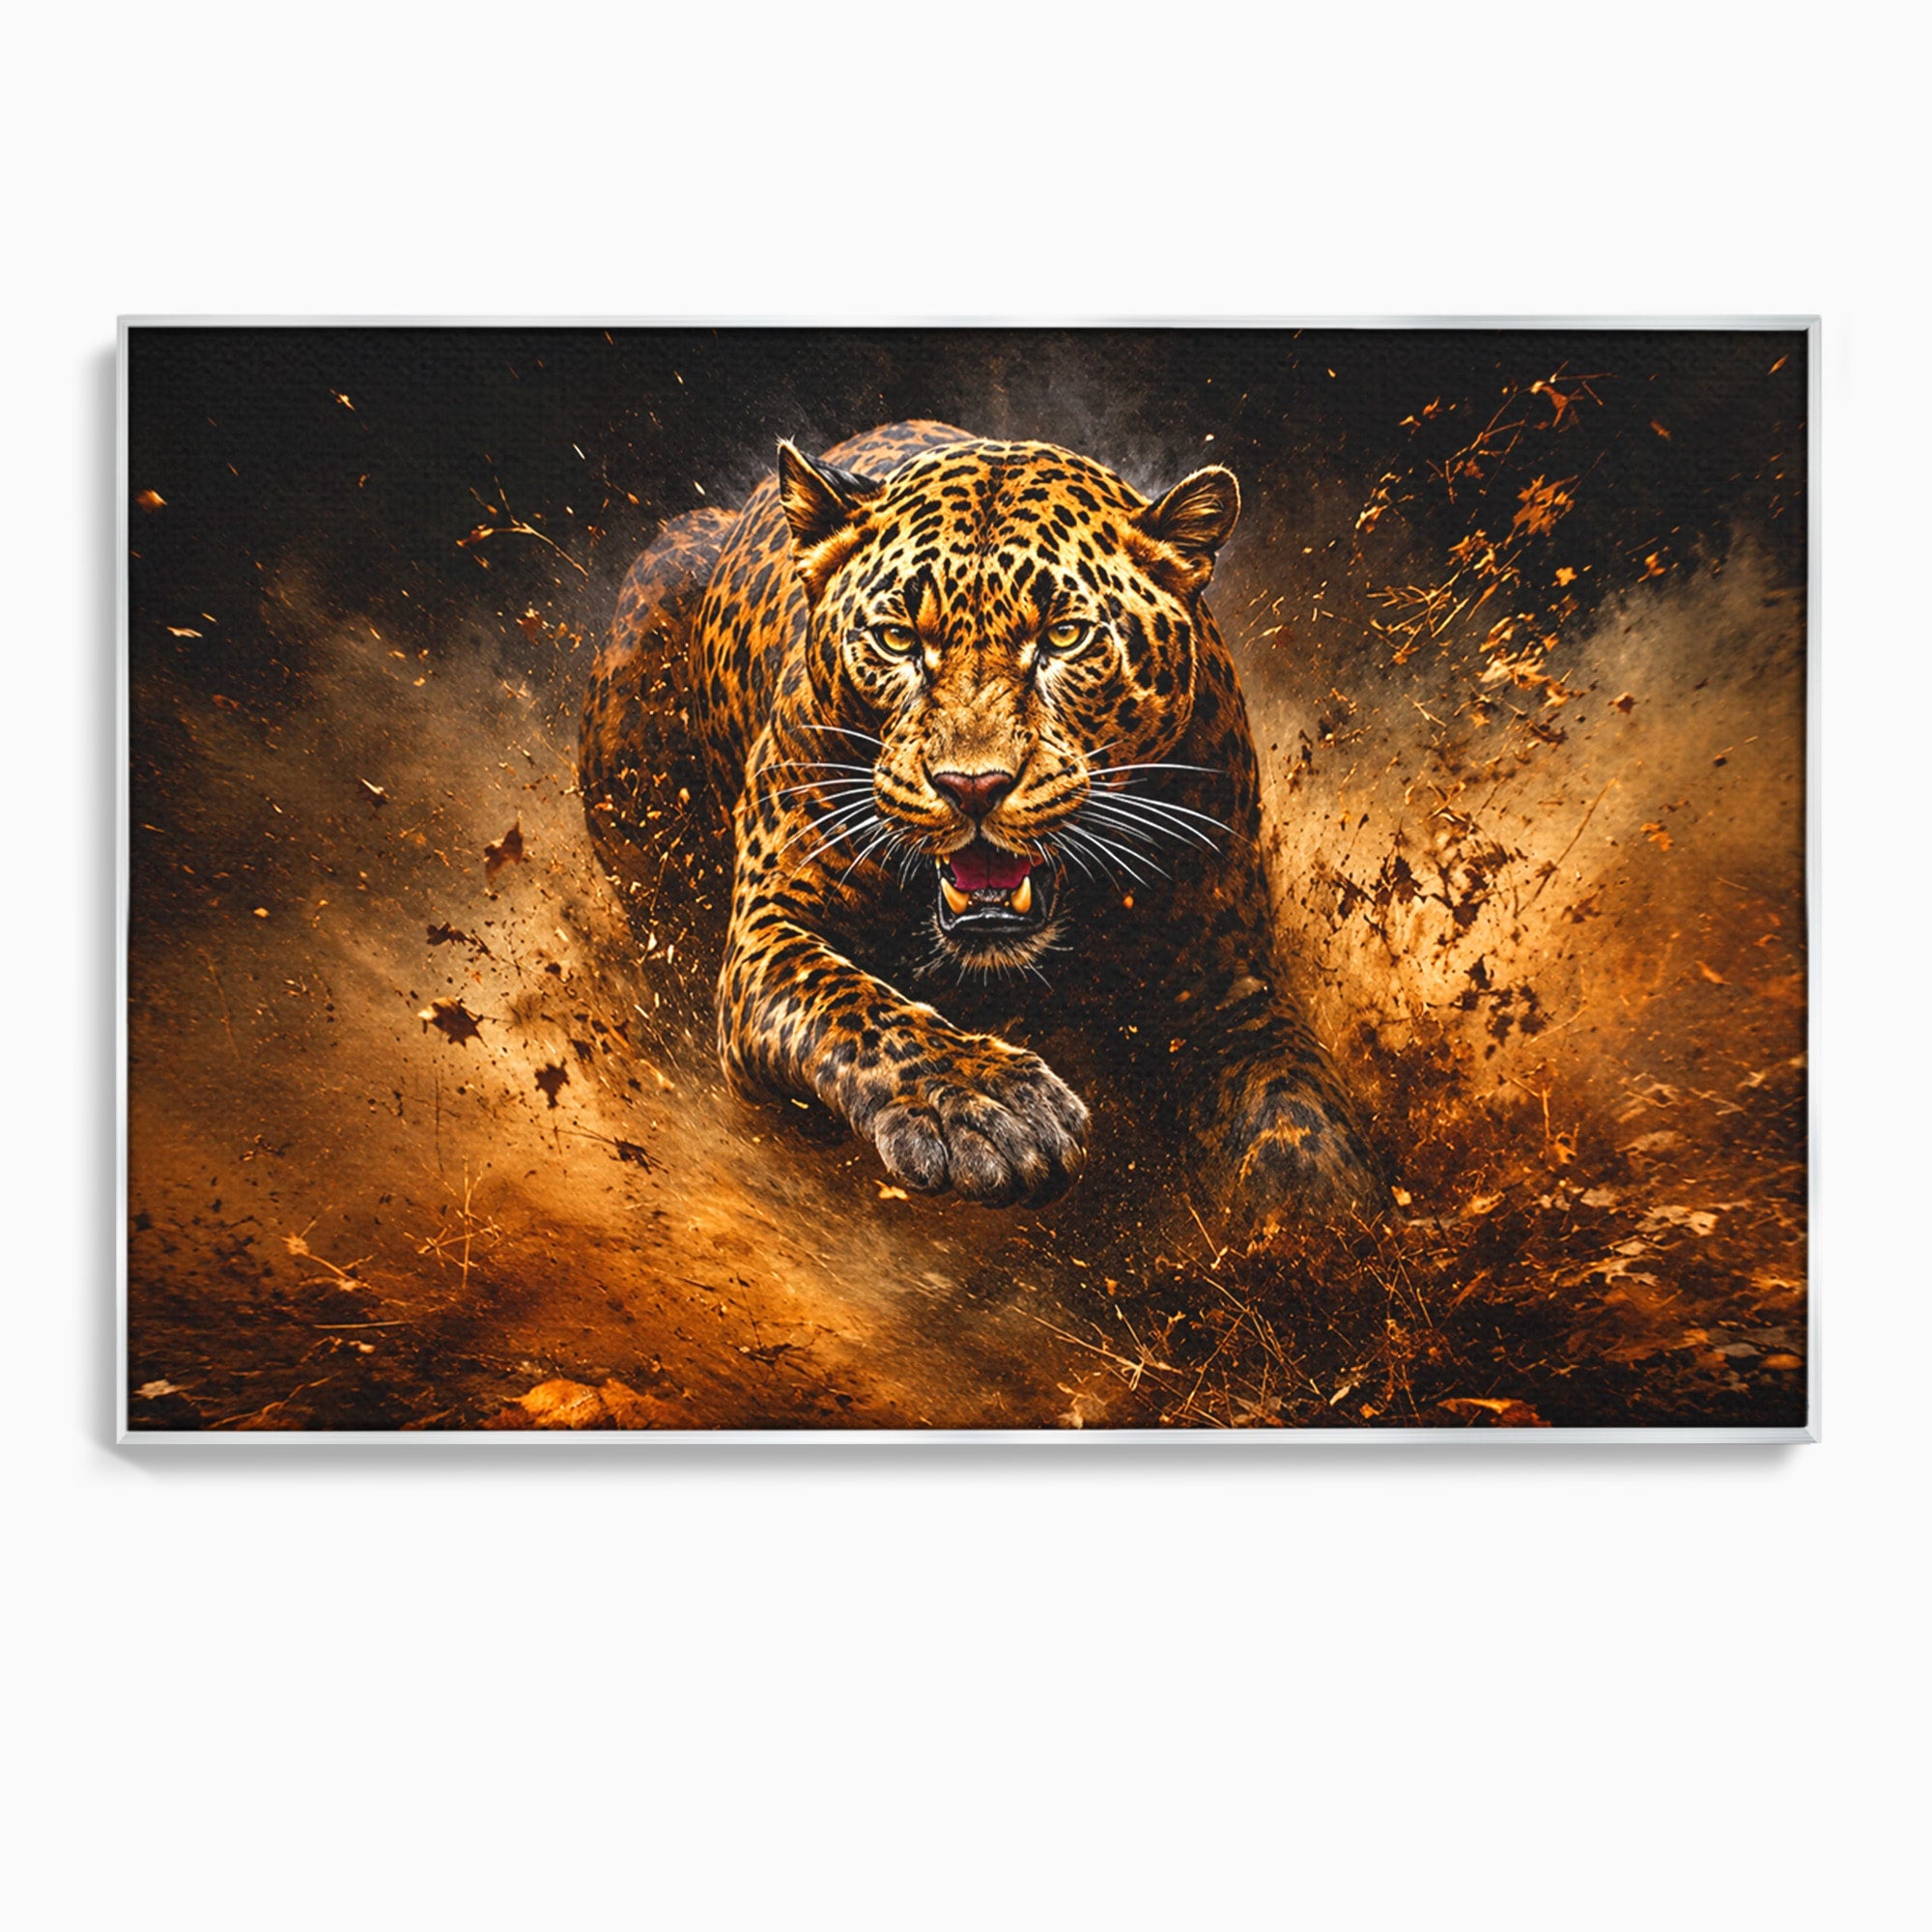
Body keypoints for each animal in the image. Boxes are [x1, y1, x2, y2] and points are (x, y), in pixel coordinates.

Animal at [580, 420, 1384, 1231]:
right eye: (899, 639)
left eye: (1064, 637)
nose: (973, 787)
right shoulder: (770, 928)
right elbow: (856, 1005)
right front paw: (989, 1104)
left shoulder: (1227, 979)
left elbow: (1294, 1110)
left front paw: (1325, 1224)